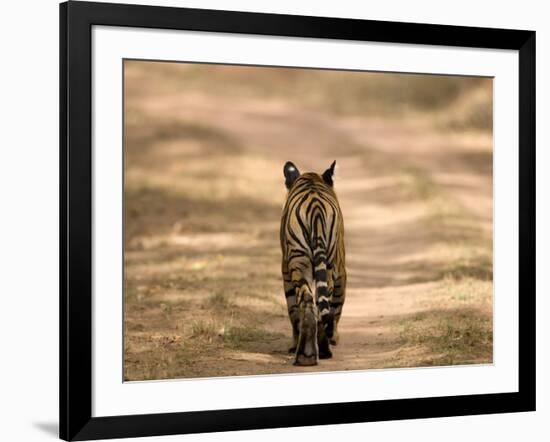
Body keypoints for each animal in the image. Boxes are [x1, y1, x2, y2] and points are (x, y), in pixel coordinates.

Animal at [282, 160, 348, 366]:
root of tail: (316, 206)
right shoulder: (341, 271)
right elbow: (337, 307)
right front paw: (334, 337)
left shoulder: (285, 269)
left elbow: (293, 310)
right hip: (324, 266)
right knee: (318, 306)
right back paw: (318, 351)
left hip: (300, 263)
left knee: (308, 303)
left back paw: (306, 355)